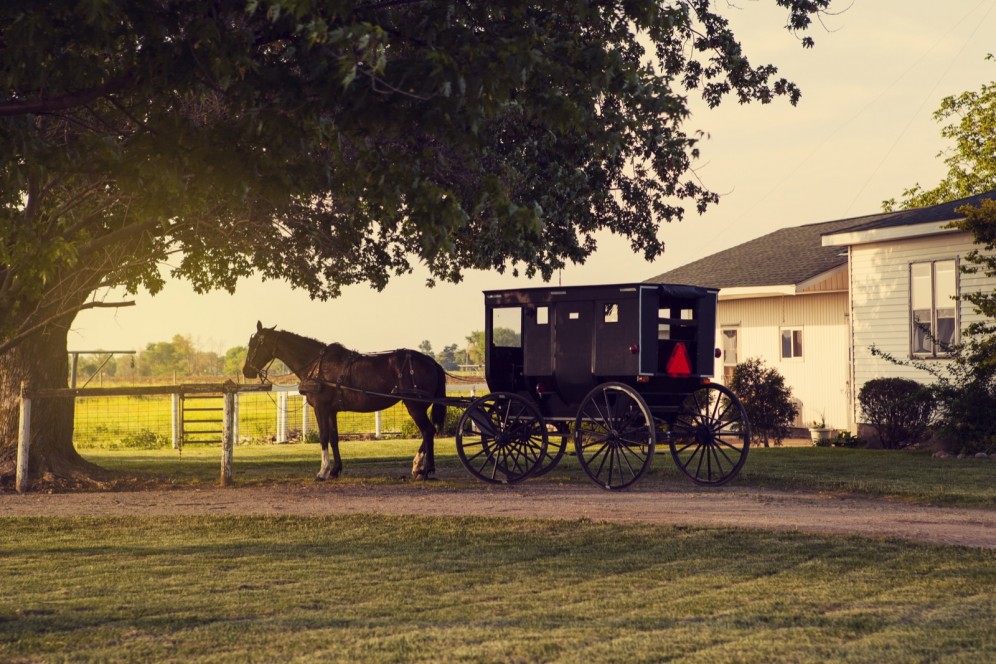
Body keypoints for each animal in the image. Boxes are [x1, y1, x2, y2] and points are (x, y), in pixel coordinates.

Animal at [241, 324, 448, 480]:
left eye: (254, 344)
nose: (246, 371)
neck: (318, 365)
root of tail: (431, 362)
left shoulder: (321, 408)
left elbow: (324, 436)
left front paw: (323, 471)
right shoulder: (332, 410)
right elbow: (334, 437)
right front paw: (335, 470)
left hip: (415, 406)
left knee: (428, 431)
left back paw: (426, 469)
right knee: (428, 432)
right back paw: (418, 467)